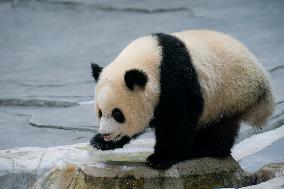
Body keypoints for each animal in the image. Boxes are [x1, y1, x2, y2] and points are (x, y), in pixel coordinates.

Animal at [90, 29, 274, 170]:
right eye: (100, 112)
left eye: (118, 113)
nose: (105, 134)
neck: (154, 57)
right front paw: (100, 142)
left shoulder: (176, 80)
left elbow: (178, 120)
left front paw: (160, 159)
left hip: (229, 96)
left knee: (219, 129)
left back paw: (202, 149)